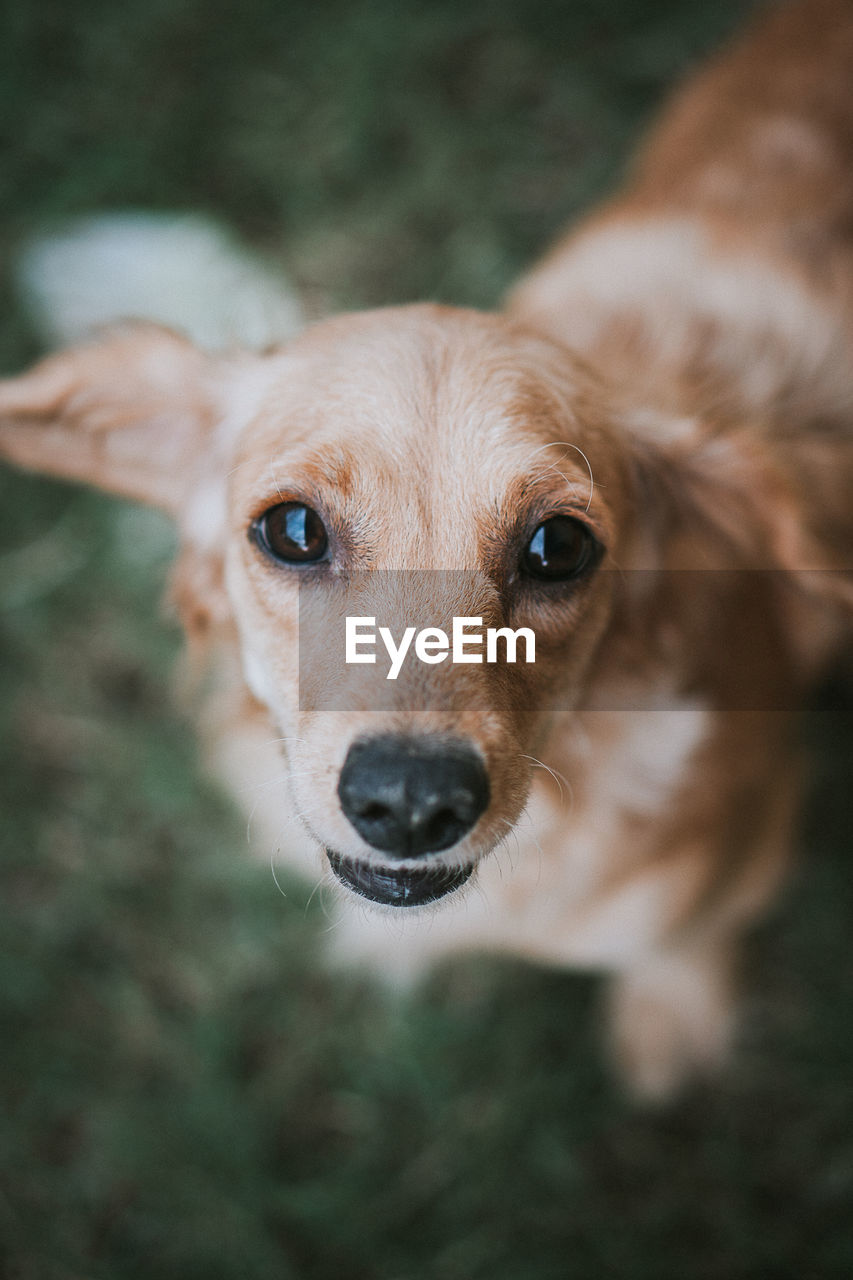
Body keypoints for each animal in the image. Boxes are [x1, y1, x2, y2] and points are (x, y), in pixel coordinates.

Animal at [1, 0, 850, 1100]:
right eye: (292, 529)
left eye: (559, 544)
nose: (408, 804)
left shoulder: (749, 840)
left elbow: (678, 940)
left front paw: (670, 1015)